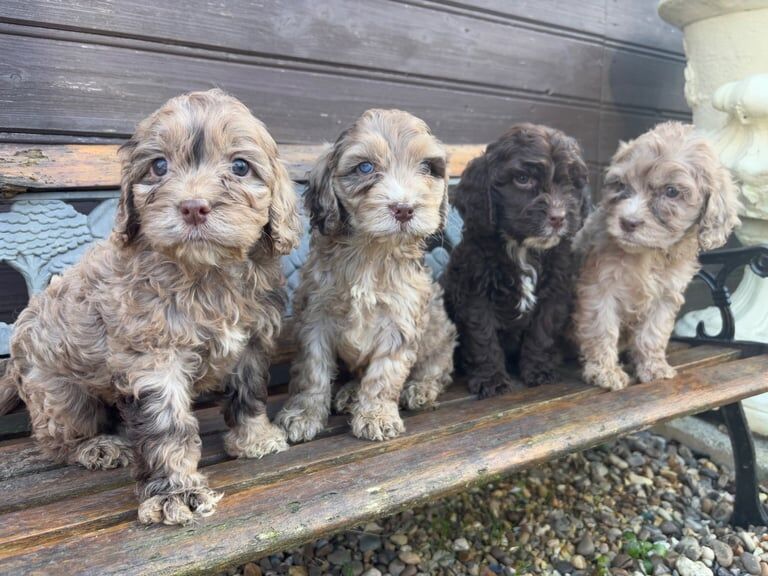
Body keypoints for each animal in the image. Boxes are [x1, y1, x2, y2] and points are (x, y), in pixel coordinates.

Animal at [0, 89, 304, 520]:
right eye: (159, 166)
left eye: (241, 167)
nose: (194, 207)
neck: (206, 273)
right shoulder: (154, 358)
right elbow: (167, 425)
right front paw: (174, 491)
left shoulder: (252, 342)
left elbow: (248, 392)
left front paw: (255, 437)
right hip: (58, 394)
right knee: (57, 437)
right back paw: (96, 446)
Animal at [274, 109, 456, 440]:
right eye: (366, 167)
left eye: (426, 167)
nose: (404, 208)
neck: (372, 252)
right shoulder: (316, 317)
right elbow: (312, 371)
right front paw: (303, 414)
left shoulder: (400, 320)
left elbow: (385, 374)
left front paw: (377, 415)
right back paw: (349, 393)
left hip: (439, 333)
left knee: (438, 368)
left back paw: (420, 388)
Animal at [444, 122, 588, 396]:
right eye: (522, 180)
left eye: (568, 182)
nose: (558, 217)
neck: (524, 249)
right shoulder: (475, 293)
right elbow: (483, 336)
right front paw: (491, 379)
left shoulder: (555, 292)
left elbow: (542, 332)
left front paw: (539, 370)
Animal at [576, 122, 736, 392]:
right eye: (620, 185)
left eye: (671, 192)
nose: (627, 222)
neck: (648, 254)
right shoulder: (600, 287)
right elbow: (602, 327)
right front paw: (605, 371)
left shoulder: (666, 294)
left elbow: (653, 333)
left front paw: (653, 367)